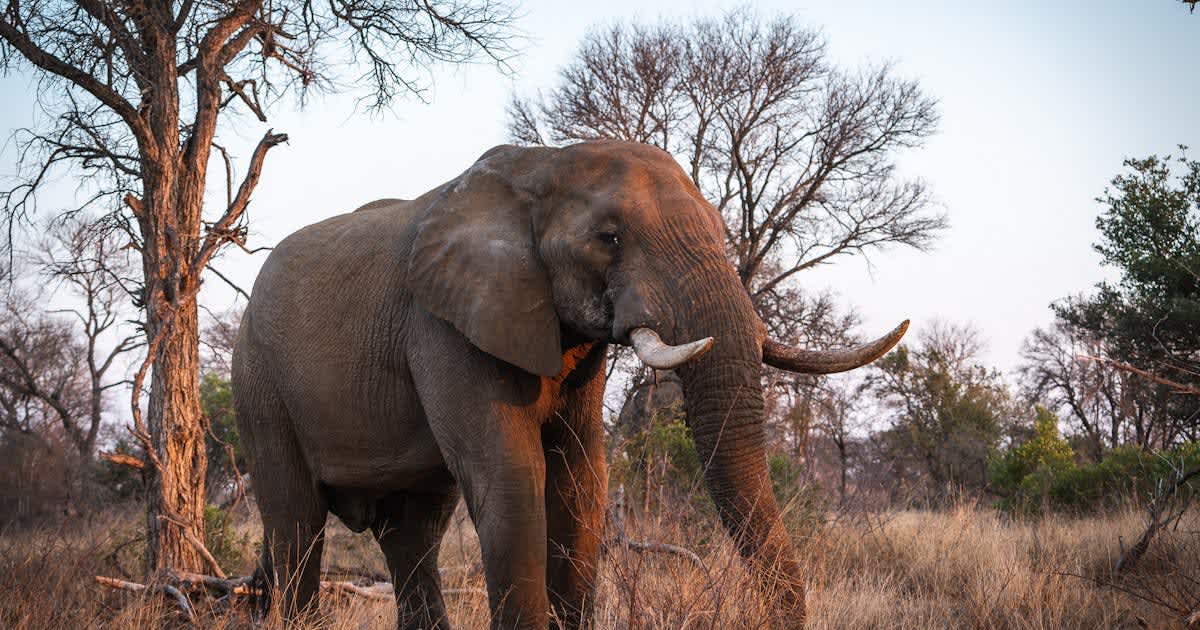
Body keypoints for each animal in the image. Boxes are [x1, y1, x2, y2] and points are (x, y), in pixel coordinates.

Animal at [231, 138, 907, 628]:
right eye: (609, 239)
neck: (541, 165)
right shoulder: (444, 324)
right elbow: (512, 474)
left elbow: (581, 480)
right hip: (258, 379)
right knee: (296, 522)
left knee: (412, 533)